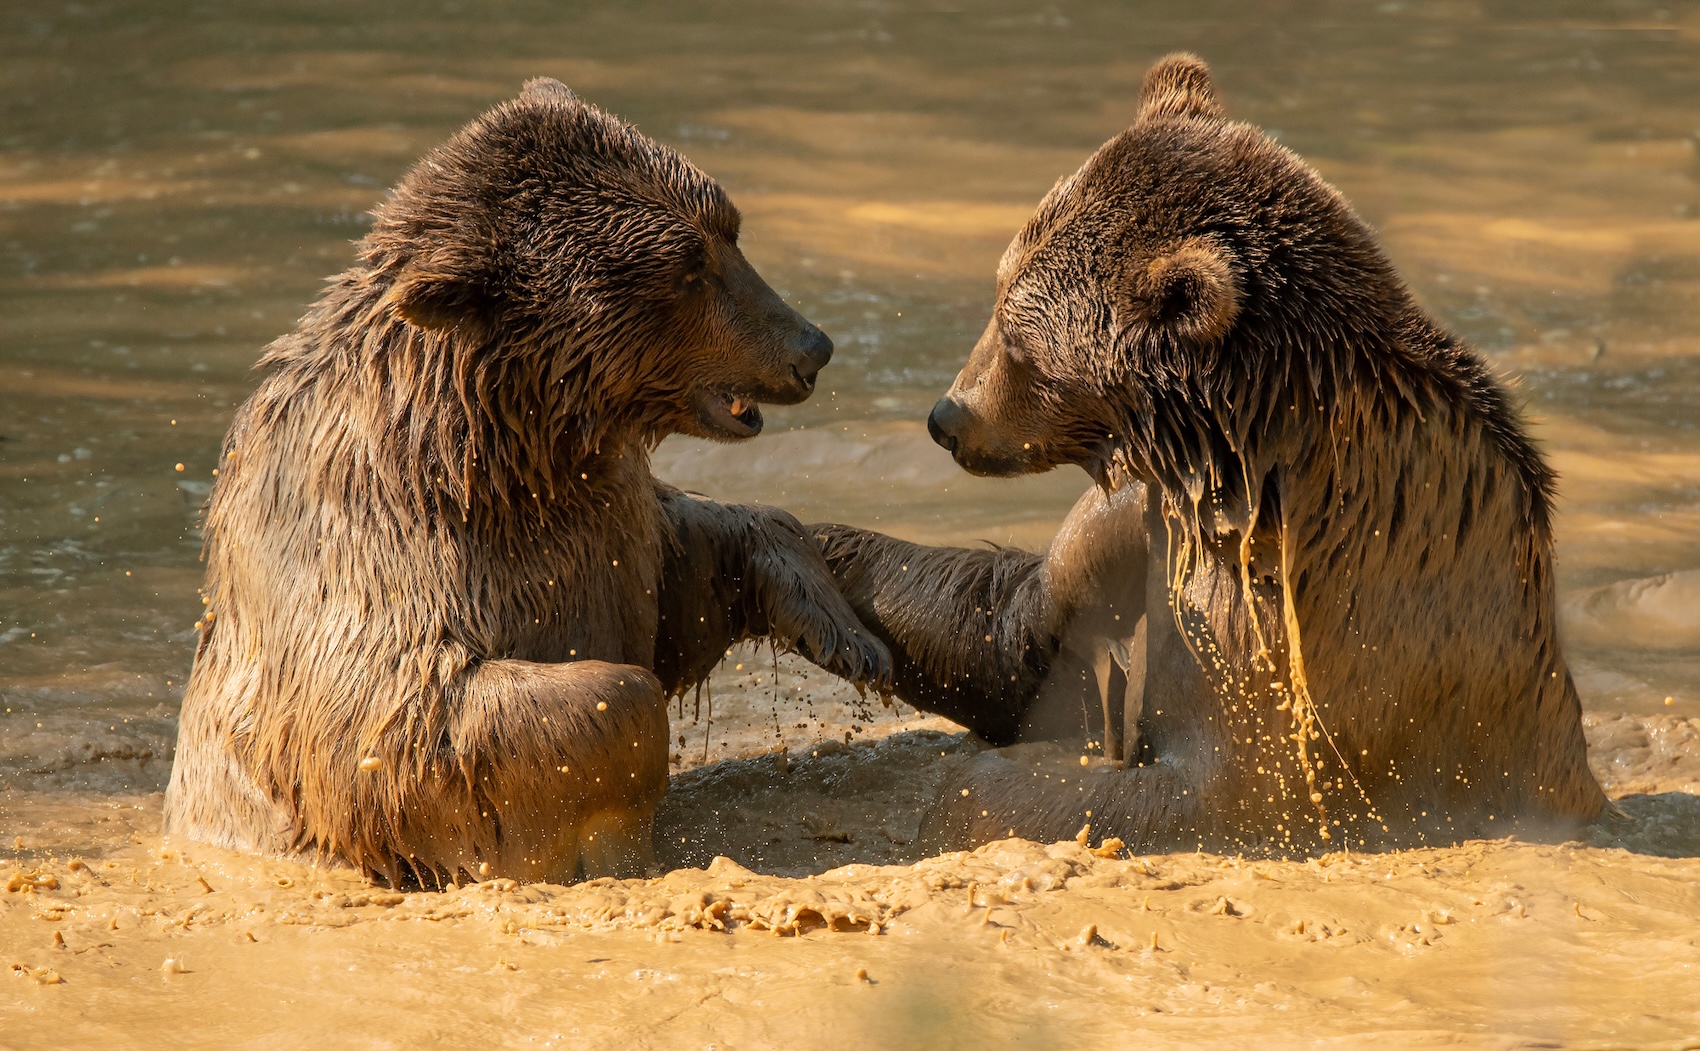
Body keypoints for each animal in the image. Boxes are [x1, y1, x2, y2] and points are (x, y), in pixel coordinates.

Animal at [162, 78, 890, 887]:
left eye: (728, 232)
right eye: (688, 267)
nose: (811, 346)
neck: (503, 445)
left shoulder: (604, 515)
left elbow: (692, 560)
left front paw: (850, 636)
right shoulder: (378, 549)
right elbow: (404, 726)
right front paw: (612, 833)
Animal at [814, 53, 1608, 855]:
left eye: (1019, 342)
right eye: (999, 290)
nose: (948, 417)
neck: (1224, 456)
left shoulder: (1311, 625)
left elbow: (1218, 791)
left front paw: (963, 799)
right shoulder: (1153, 531)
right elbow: (1015, 637)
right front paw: (813, 551)